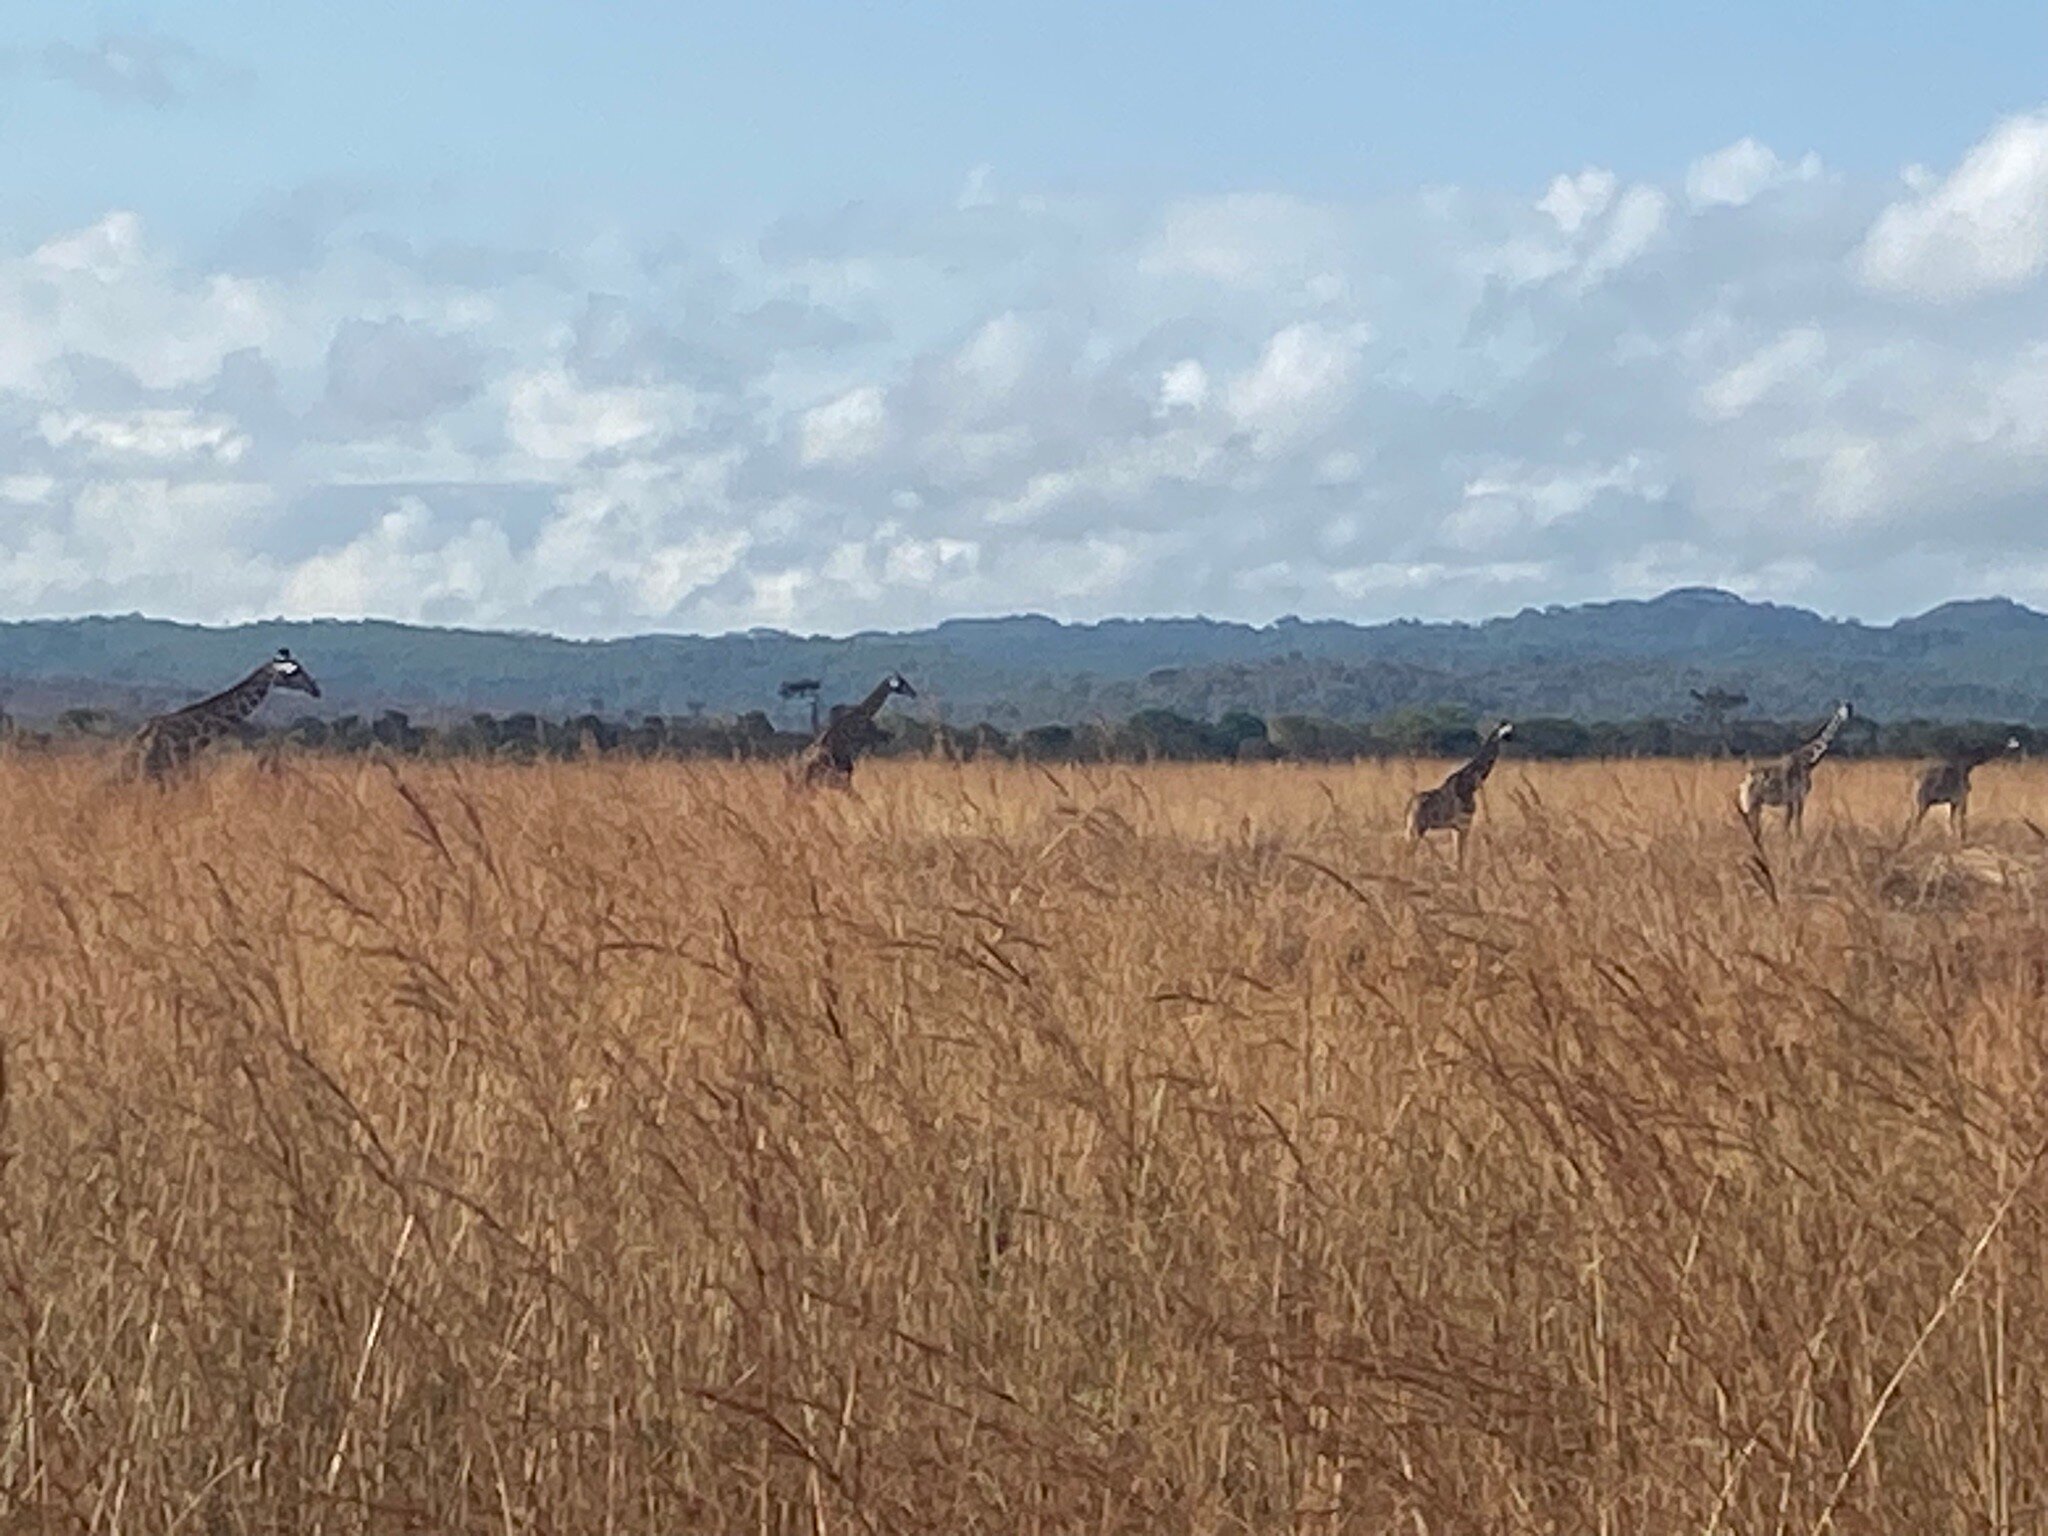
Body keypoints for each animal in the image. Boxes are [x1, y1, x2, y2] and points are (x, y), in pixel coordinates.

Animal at [1405, 721, 1513, 865]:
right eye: (1508, 731)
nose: (1512, 738)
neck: (1471, 784)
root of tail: (1409, 808)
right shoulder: (1464, 823)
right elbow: (1461, 858)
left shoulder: (1455, 827)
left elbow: (1458, 858)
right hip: (1417, 829)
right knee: (1408, 854)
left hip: (1413, 829)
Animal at [1736, 701, 1851, 839]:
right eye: (1842, 710)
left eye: (1848, 708)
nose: (1849, 715)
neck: (1807, 761)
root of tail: (1744, 782)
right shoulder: (1799, 797)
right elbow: (1797, 820)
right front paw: (1799, 839)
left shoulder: (1790, 800)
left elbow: (1787, 822)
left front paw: (1787, 839)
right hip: (1752, 803)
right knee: (1752, 826)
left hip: (1753, 804)